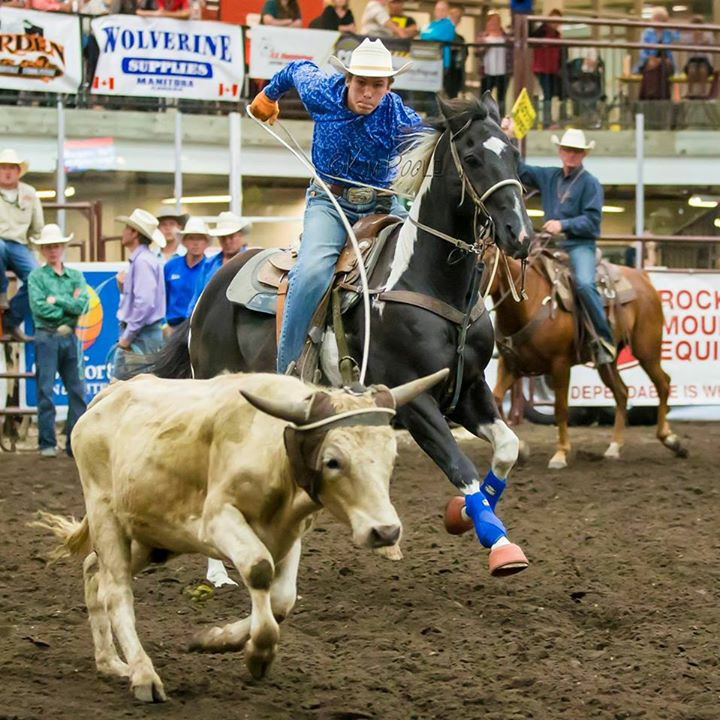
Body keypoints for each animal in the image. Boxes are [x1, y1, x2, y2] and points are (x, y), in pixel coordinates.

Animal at [152, 95, 536, 572]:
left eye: (514, 156)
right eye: (472, 158)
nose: (520, 234)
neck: (428, 281)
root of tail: (212, 284)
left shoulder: (468, 390)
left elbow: (506, 449)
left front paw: (461, 516)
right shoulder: (415, 401)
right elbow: (459, 464)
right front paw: (499, 545)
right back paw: (220, 571)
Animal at [486, 245, 688, 470]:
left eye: (482, 263)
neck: (528, 306)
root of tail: (643, 277)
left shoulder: (560, 365)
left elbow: (560, 408)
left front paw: (561, 454)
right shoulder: (509, 364)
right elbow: (495, 400)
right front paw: (520, 449)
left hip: (647, 350)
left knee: (663, 383)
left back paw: (670, 439)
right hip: (607, 361)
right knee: (622, 392)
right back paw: (614, 447)